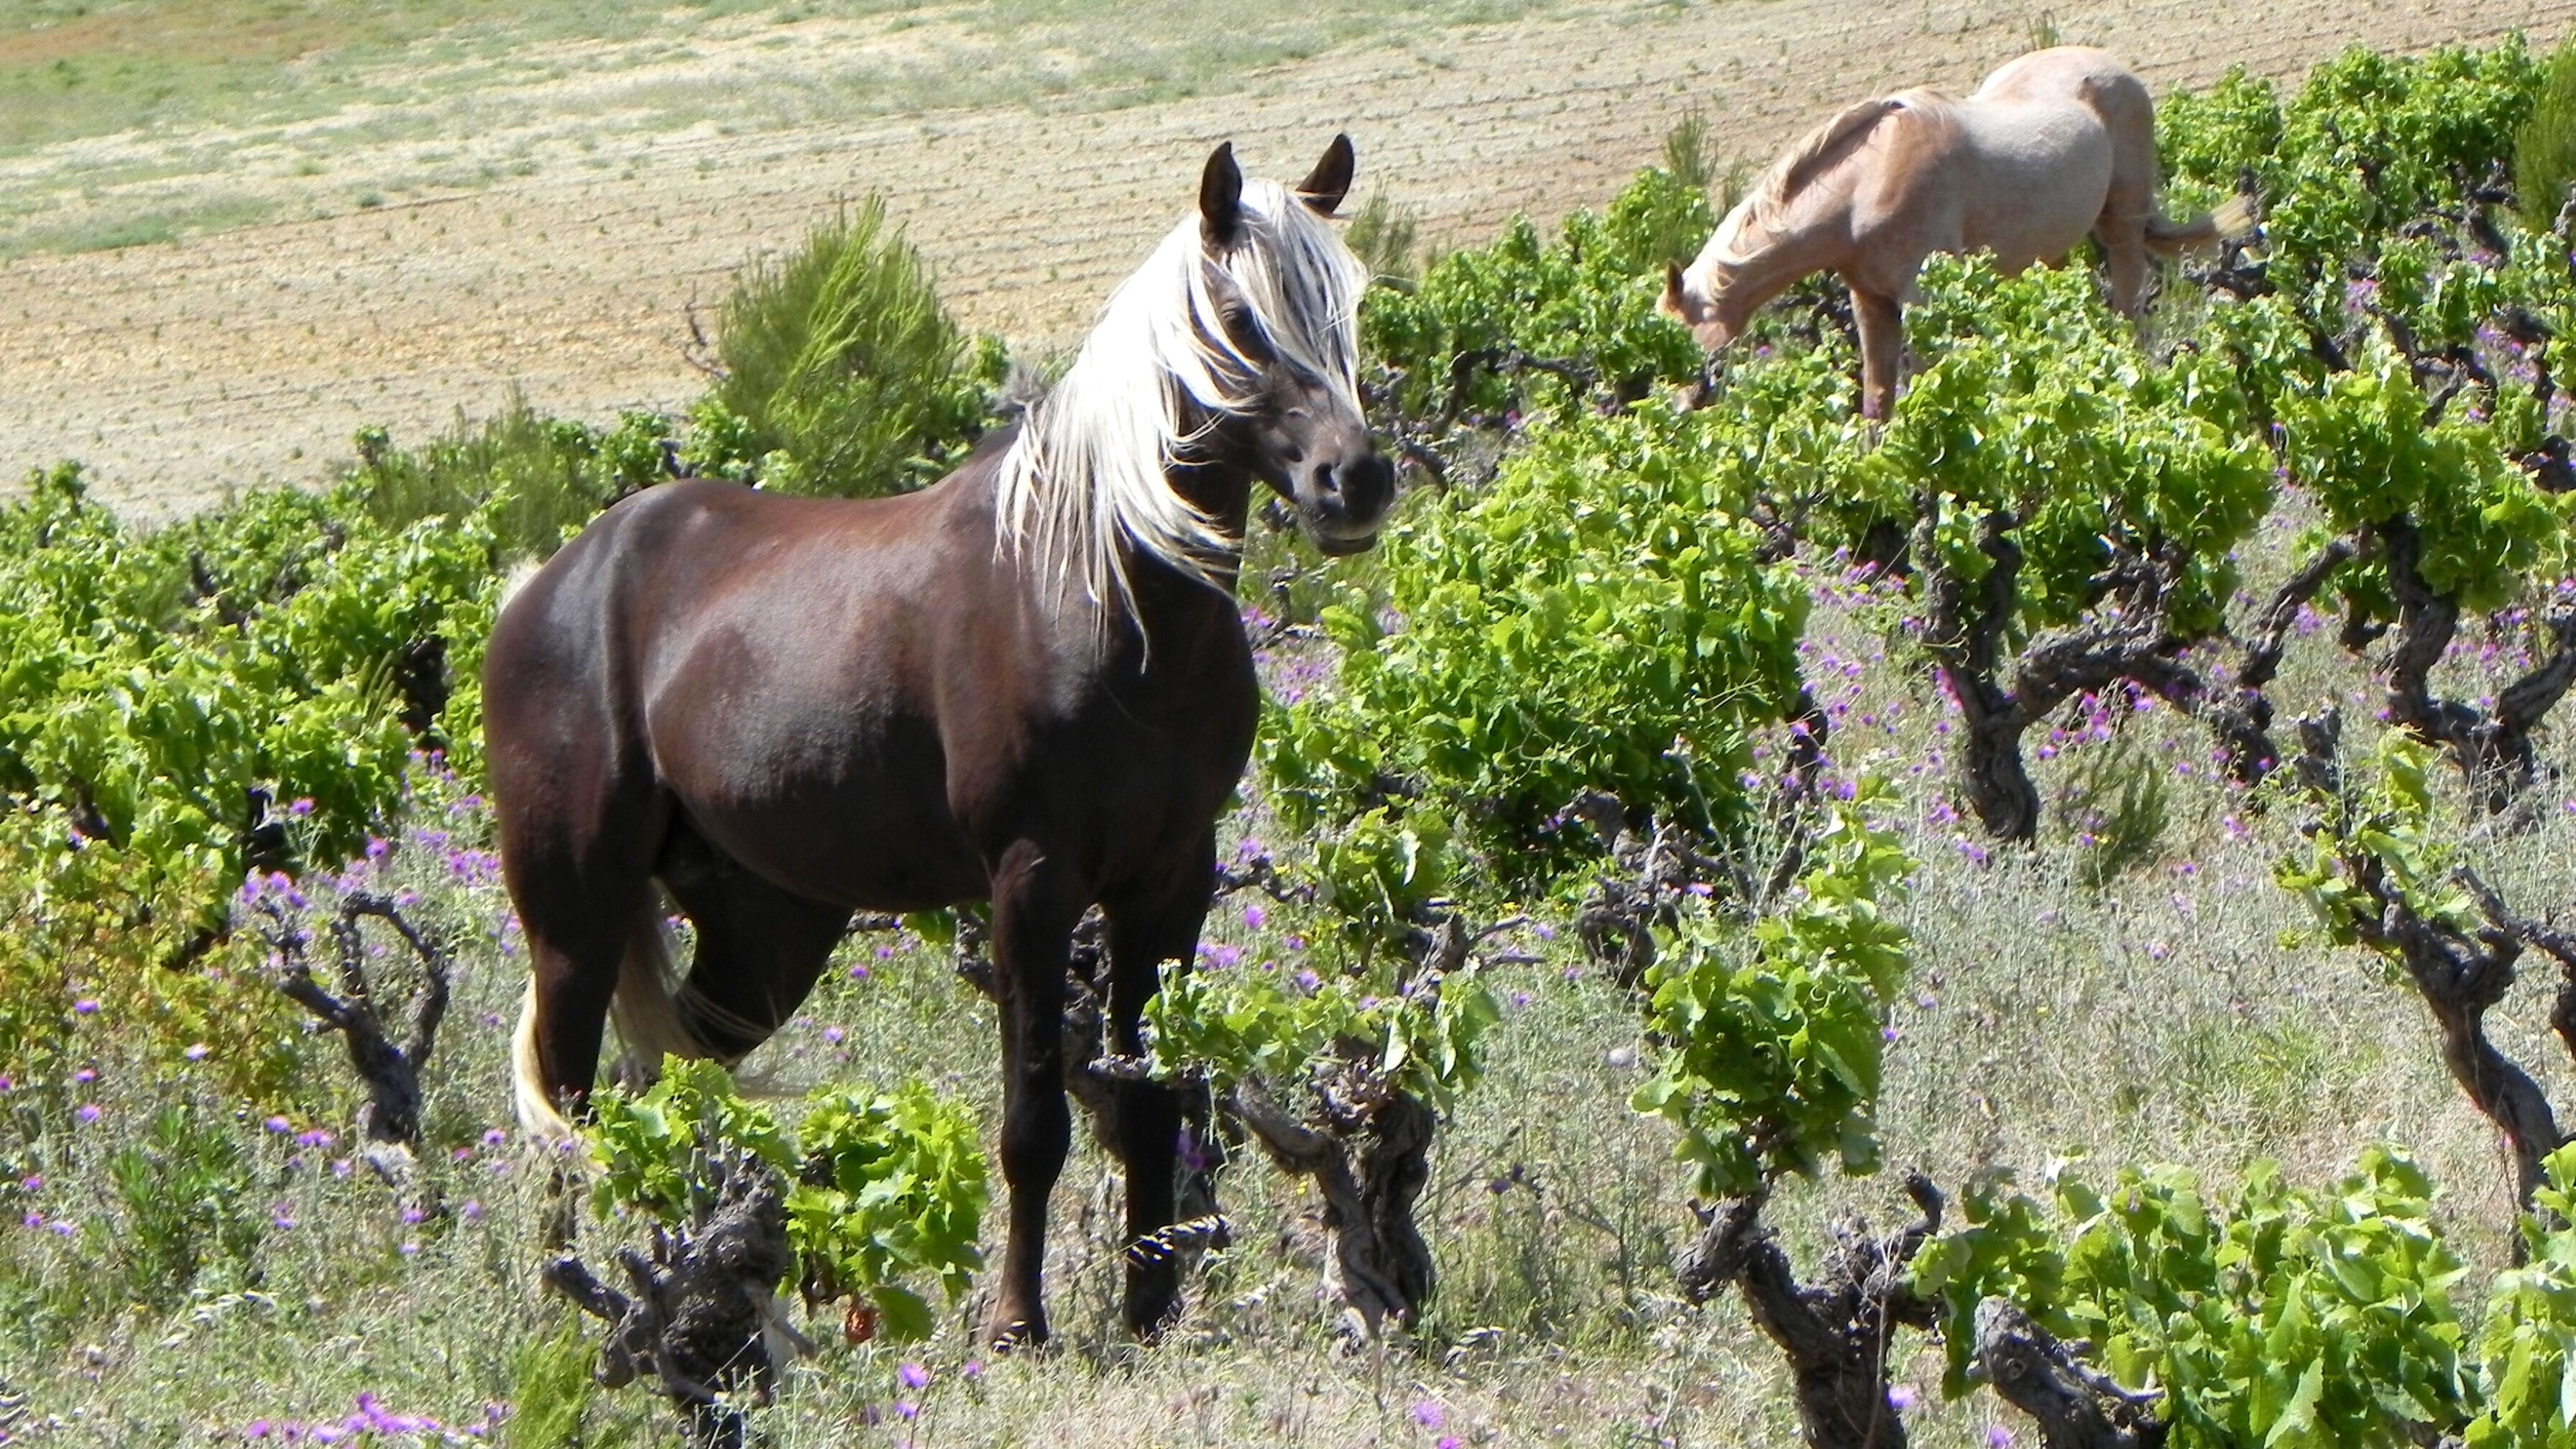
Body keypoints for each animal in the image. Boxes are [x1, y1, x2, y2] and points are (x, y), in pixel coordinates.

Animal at [484, 134, 1393, 1348]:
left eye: (1346, 307)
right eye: (1241, 317)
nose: (1356, 482)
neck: (1102, 597)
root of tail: (548, 583)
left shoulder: (1171, 881)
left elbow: (1152, 1101)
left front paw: (1149, 1309)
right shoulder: (1032, 883)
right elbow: (1033, 1124)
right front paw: (1018, 1325)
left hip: (762, 938)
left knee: (649, 1093)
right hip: (575, 917)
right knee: (571, 1097)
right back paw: (578, 1308)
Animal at [1657, 46, 2254, 420]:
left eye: (1698, 347)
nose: (1681, 407)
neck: (1867, 182)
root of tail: (2115, 72)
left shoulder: (1921, 297)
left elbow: (1922, 382)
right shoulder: (1870, 302)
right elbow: (1877, 395)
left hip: (2120, 225)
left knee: (2131, 305)